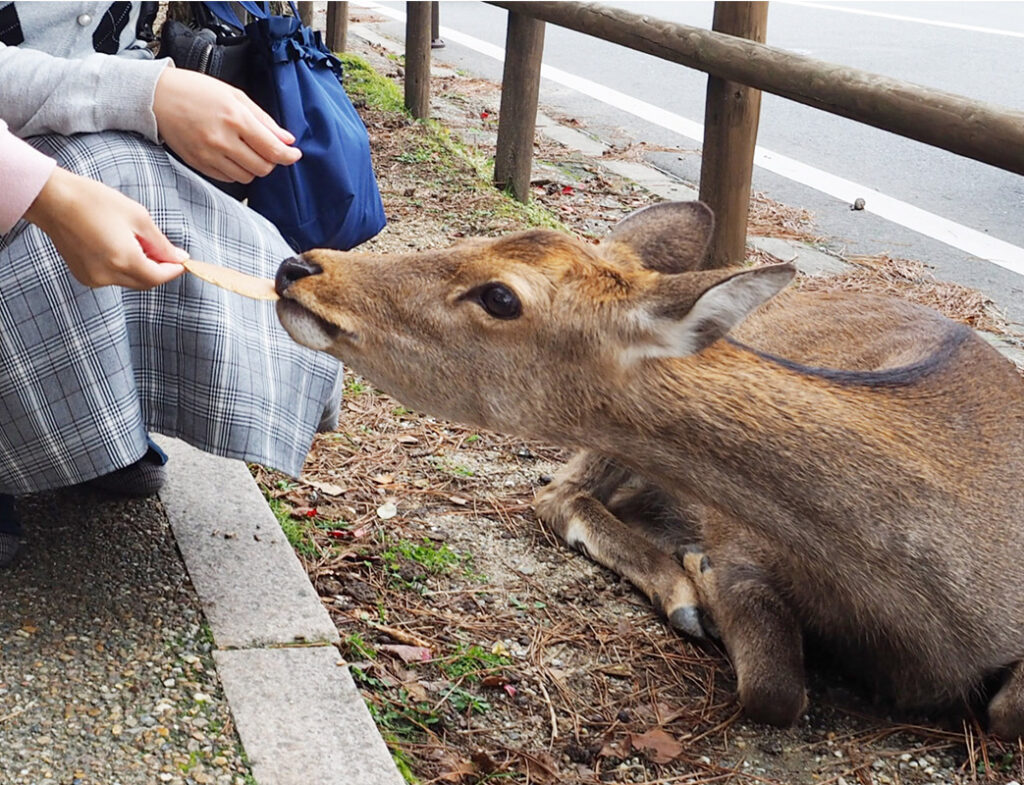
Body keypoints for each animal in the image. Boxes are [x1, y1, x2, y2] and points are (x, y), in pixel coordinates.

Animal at [272, 200, 1024, 736]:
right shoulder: (737, 538)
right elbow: (775, 690)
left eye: (502, 296)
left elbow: (1004, 714)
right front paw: (699, 578)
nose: (300, 267)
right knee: (558, 491)